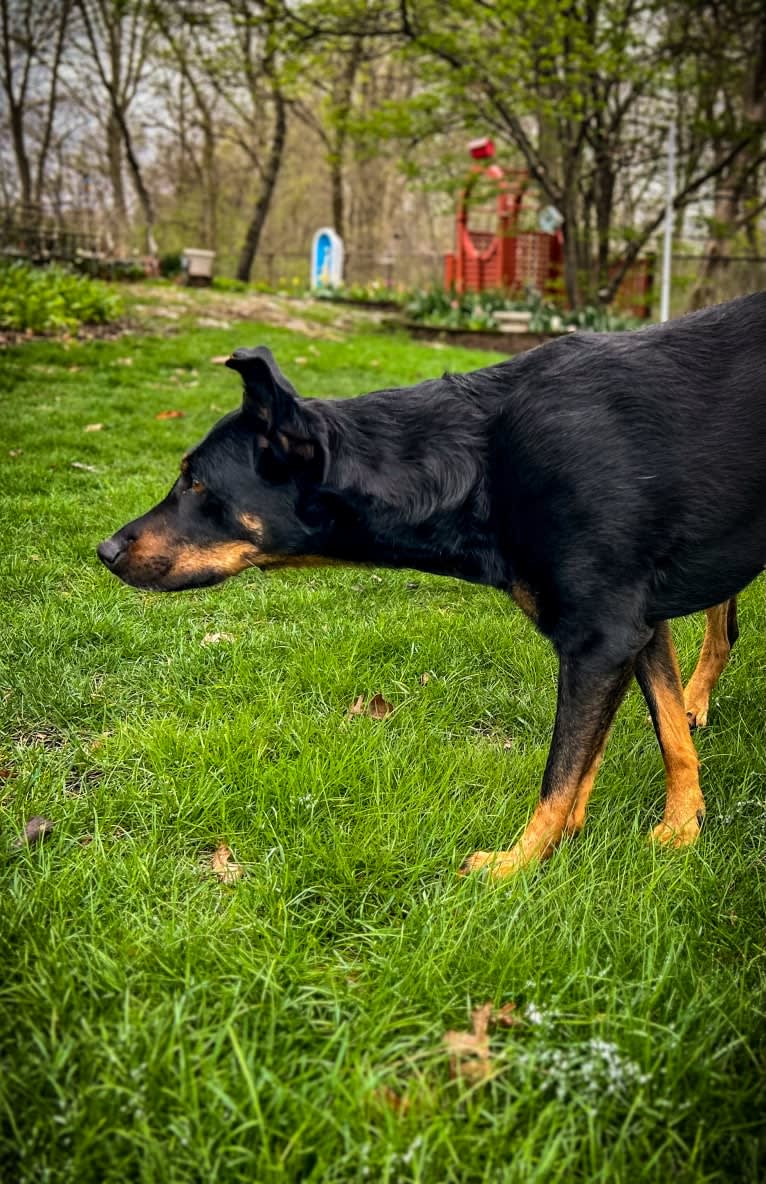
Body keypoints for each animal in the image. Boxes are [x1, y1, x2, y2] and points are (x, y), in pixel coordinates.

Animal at [98, 291, 762, 876]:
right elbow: (656, 735)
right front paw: (678, 827)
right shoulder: (636, 629)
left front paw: (517, 865)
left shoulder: (602, 638)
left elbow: (561, 770)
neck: (479, 467)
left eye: (196, 483)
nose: (104, 550)